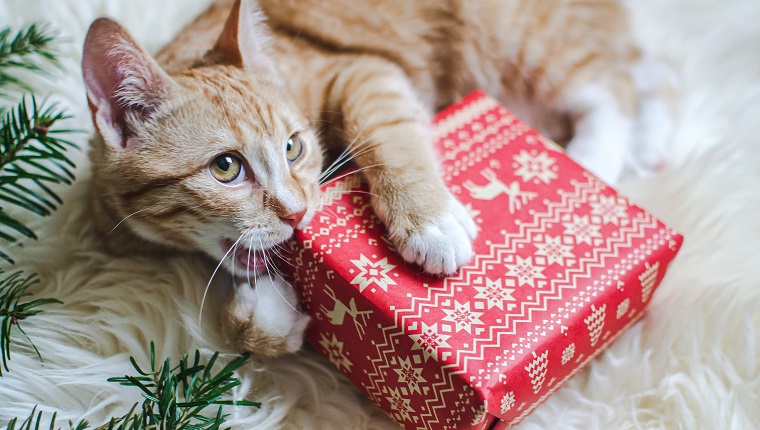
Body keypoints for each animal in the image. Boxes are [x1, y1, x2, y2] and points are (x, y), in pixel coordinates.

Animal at [81, 0, 672, 356]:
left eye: (293, 147)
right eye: (226, 168)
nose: (298, 212)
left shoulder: (361, 70)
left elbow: (388, 132)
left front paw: (429, 221)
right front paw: (264, 317)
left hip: (513, 35)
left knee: (614, 86)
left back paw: (596, 157)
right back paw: (655, 144)